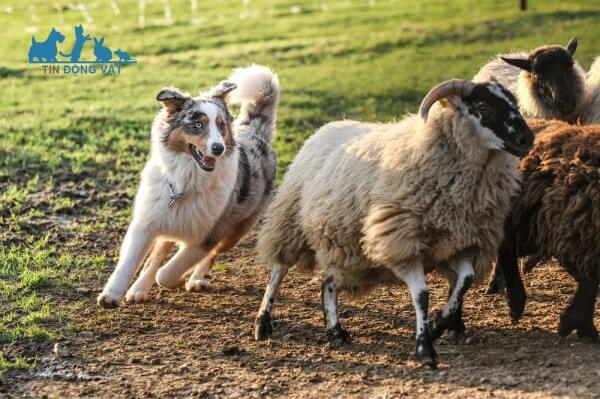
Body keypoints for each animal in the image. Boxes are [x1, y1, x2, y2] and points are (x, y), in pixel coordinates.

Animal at [97, 66, 280, 310]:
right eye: (197, 124)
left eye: (221, 125)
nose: (219, 148)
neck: (186, 180)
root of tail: (255, 134)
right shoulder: (147, 222)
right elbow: (130, 261)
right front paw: (111, 295)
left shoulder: (208, 236)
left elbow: (170, 271)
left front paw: (175, 279)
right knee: (158, 252)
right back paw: (139, 289)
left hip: (236, 229)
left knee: (211, 255)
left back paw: (197, 279)